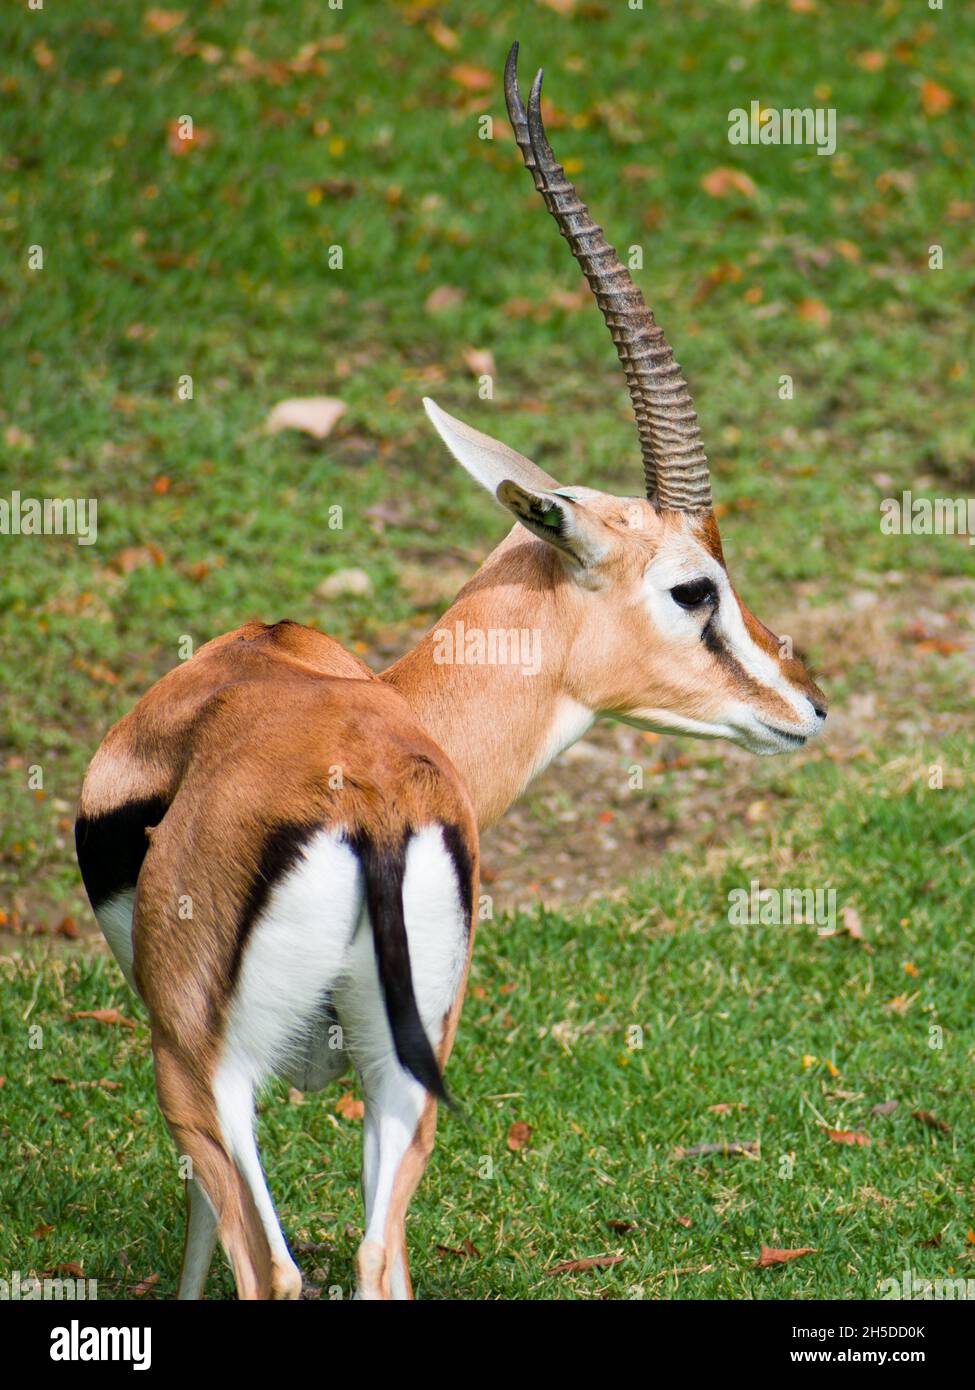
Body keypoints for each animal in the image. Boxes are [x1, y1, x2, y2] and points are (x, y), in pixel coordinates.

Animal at [75, 43, 826, 1302]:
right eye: (694, 589)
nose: (806, 705)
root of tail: (374, 808)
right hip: (397, 1083)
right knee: (378, 1259)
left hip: (209, 1073)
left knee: (279, 1270)